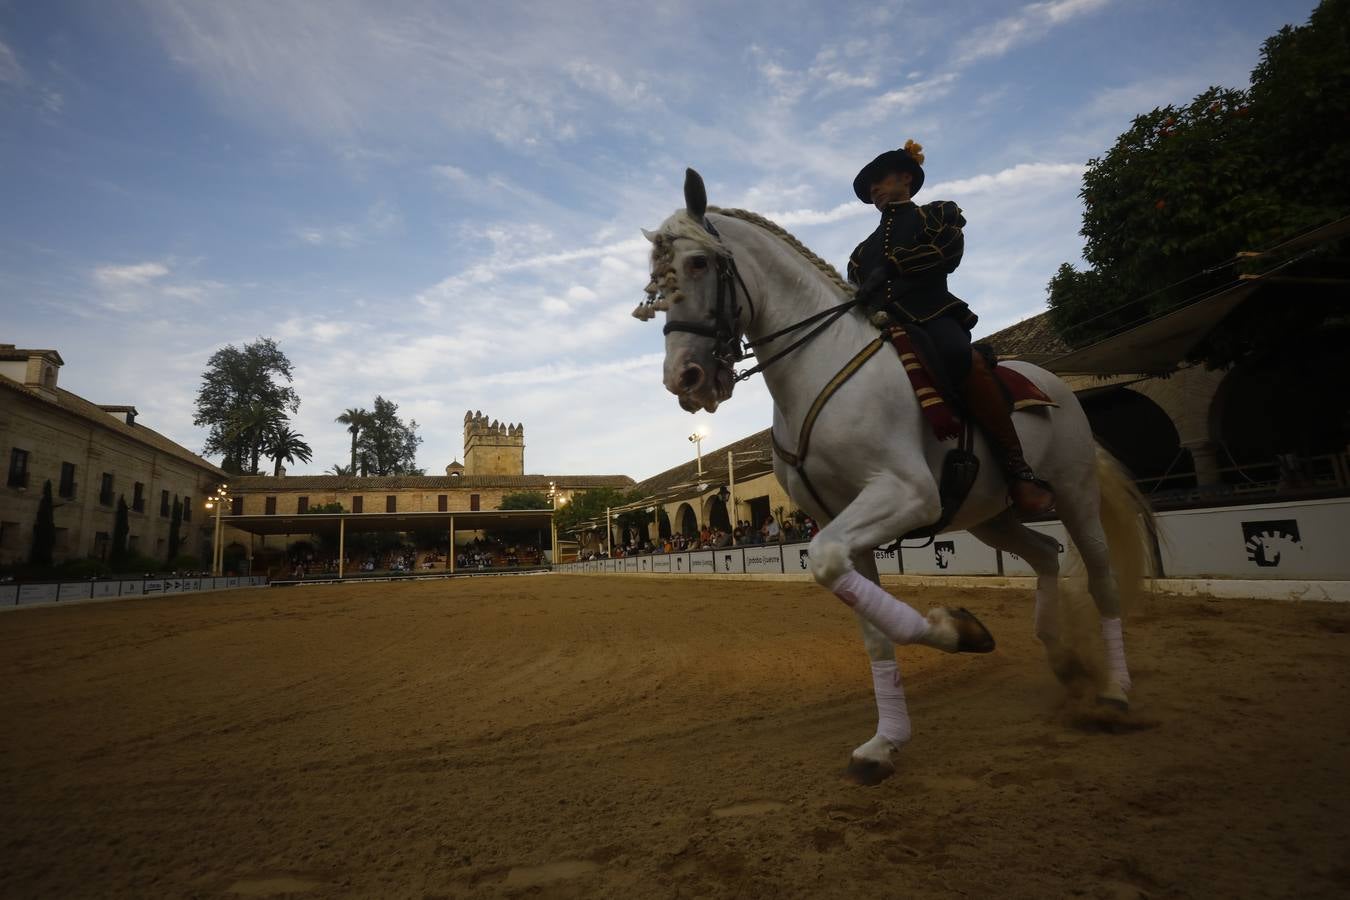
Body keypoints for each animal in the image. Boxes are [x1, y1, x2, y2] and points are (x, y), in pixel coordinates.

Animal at [637, 172, 1155, 782]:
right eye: (656, 282)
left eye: (697, 263)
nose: (684, 378)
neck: (816, 368)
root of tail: (1053, 384)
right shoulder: (841, 522)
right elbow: (874, 635)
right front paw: (885, 742)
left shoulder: (906, 495)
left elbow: (837, 574)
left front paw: (960, 631)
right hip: (992, 517)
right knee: (1046, 555)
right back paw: (1063, 660)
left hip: (1074, 495)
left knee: (1101, 579)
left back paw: (1115, 690)